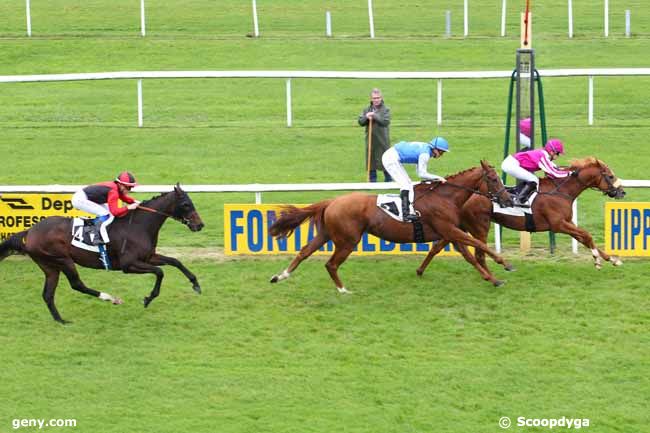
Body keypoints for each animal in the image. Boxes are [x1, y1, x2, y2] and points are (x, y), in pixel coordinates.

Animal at [0, 184, 202, 322]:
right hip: (63, 260)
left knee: (48, 294)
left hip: (50, 266)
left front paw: (196, 284)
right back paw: (110, 298)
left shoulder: (149, 257)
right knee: (77, 284)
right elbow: (160, 272)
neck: (139, 225)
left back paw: (61, 320)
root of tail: (30, 231)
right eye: (186, 204)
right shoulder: (129, 265)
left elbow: (175, 261)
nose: (200, 225)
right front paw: (148, 298)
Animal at [266, 160, 512, 292]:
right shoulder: (450, 230)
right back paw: (343, 290)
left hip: (326, 234)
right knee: (331, 264)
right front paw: (505, 265)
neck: (445, 197)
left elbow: (469, 256)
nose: (508, 199)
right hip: (347, 241)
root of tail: (331, 201)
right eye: (493, 178)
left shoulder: (449, 232)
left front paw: (492, 278)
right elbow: (477, 245)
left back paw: (279, 276)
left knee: (304, 252)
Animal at [416, 157, 624, 276]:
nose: (622, 192)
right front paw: (598, 260)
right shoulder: (558, 225)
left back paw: (420, 270)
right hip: (479, 226)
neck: (561, 191)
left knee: (438, 247)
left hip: (458, 226)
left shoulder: (567, 223)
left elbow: (585, 238)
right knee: (479, 252)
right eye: (610, 176)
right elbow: (587, 236)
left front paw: (612, 259)